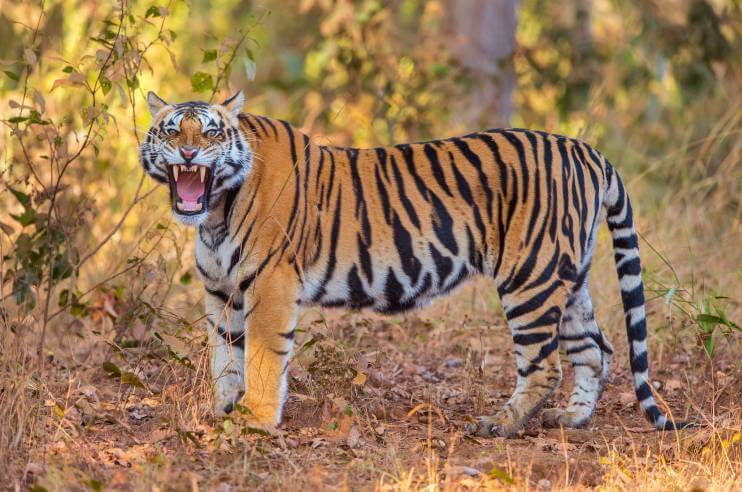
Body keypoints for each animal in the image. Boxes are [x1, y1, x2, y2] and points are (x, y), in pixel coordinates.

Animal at [139, 89, 688, 437]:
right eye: (172, 131)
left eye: (211, 134)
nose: (188, 153)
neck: (214, 214)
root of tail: (587, 150)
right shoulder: (220, 289)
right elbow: (224, 356)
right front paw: (222, 410)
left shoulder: (270, 284)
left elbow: (261, 355)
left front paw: (254, 419)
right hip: (566, 276)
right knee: (596, 348)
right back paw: (571, 420)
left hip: (529, 275)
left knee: (544, 365)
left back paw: (500, 425)